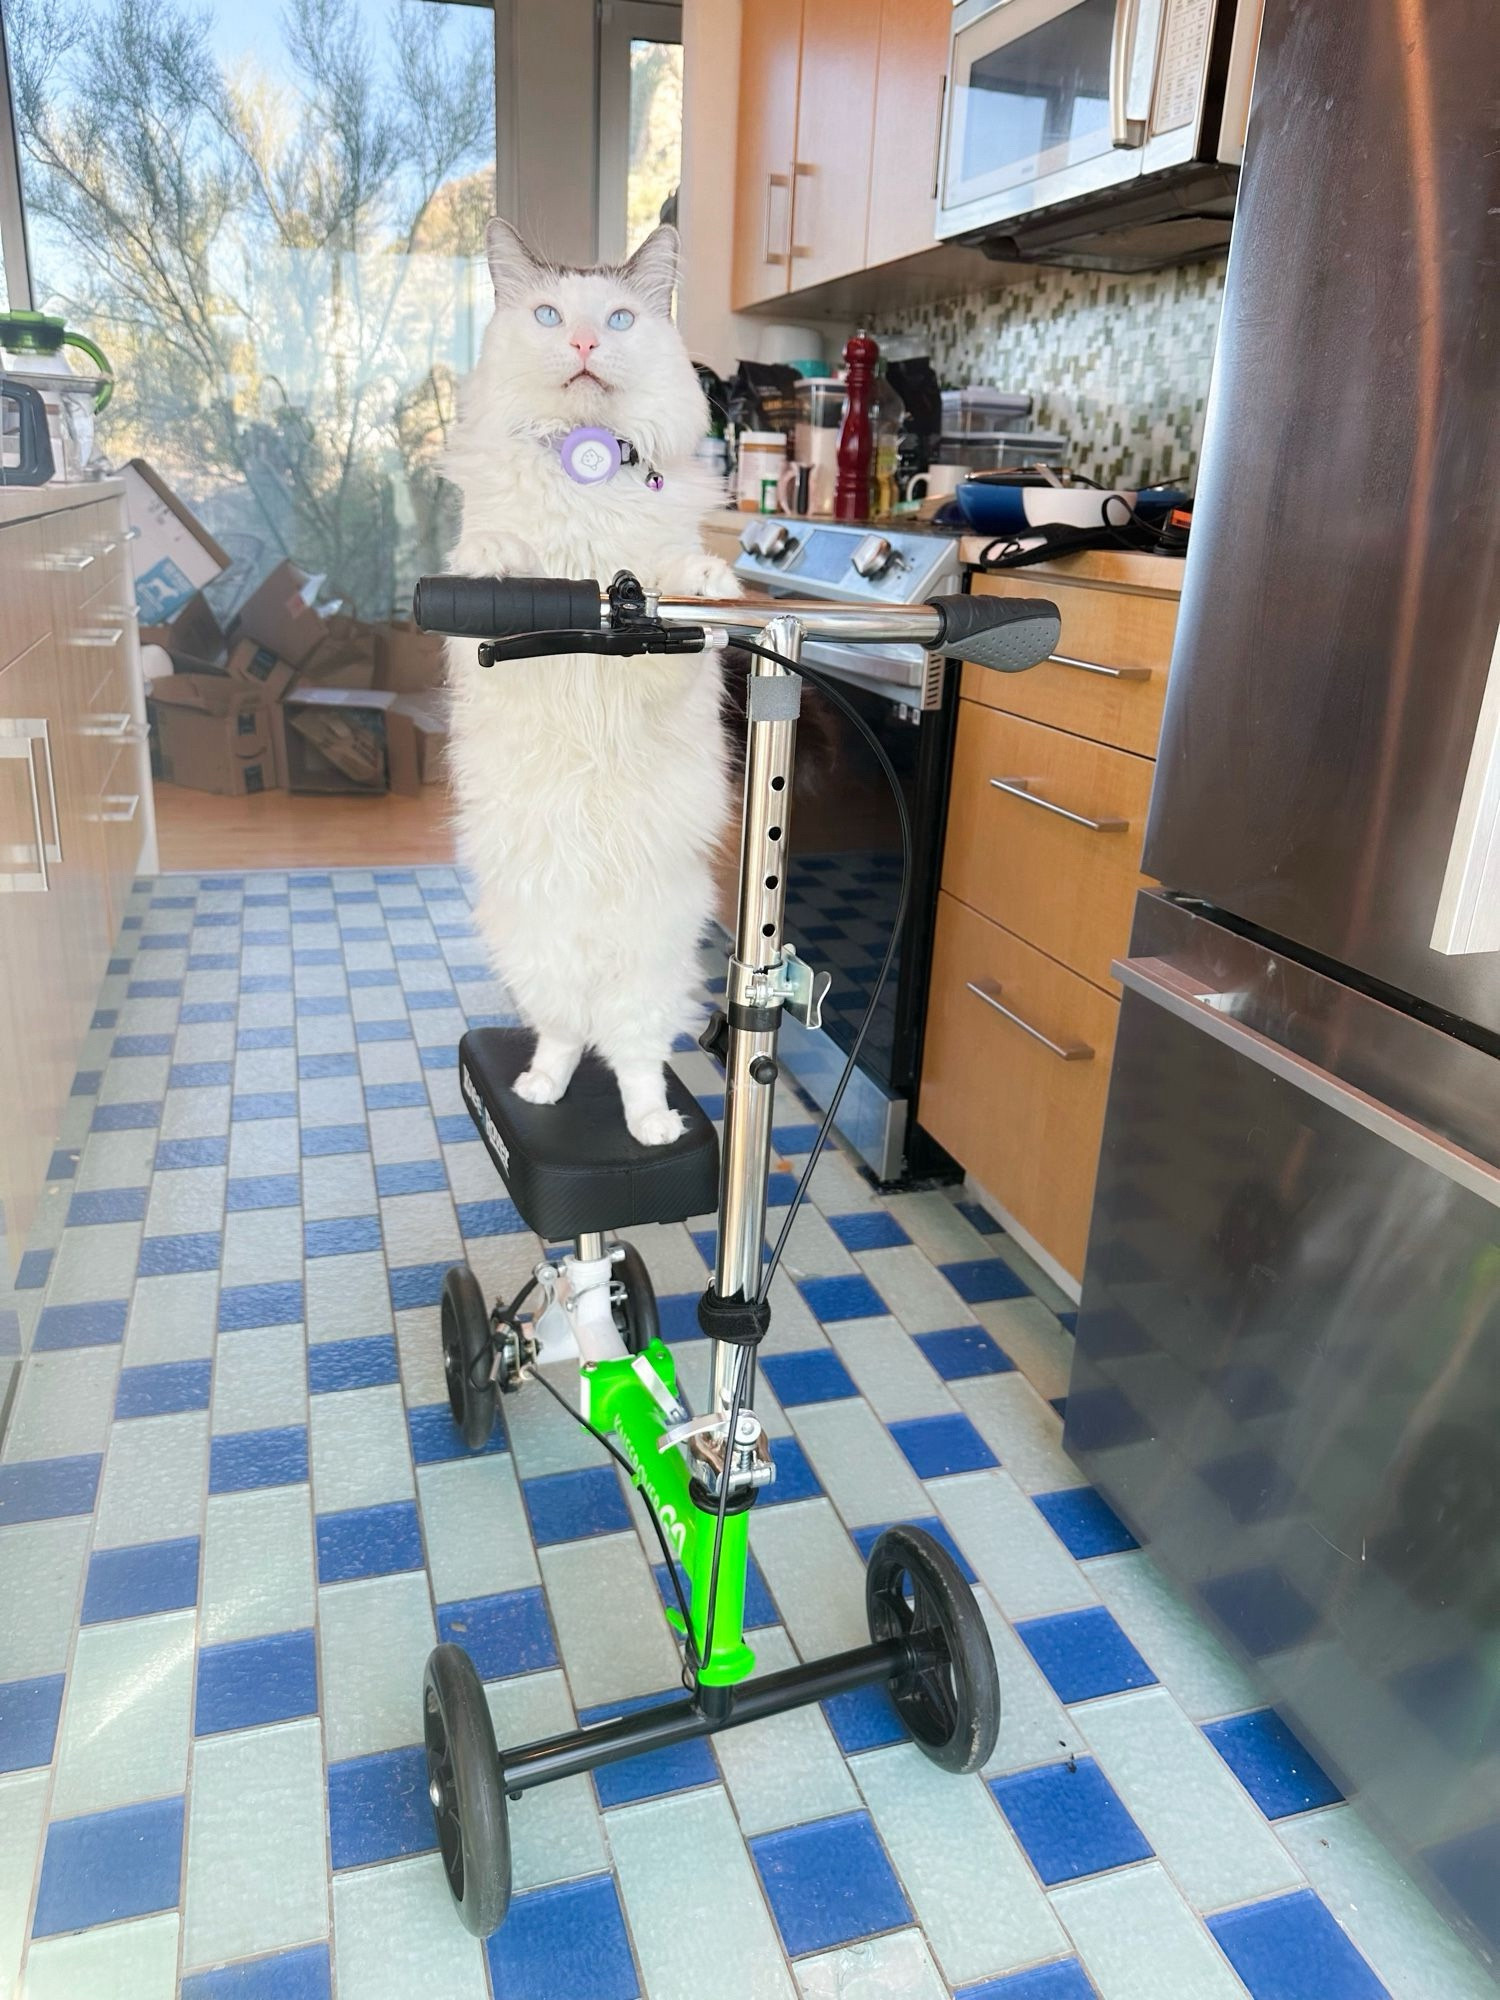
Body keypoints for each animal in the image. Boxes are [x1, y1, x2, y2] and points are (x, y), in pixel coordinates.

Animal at [440, 219, 740, 1144]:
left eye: (616, 319)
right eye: (547, 315)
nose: (580, 344)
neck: (587, 468)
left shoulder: (666, 640)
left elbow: (679, 588)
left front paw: (715, 583)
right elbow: (494, 558)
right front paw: (493, 565)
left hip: (647, 973)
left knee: (633, 1059)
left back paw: (654, 1128)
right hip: (539, 957)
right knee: (566, 1037)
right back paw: (539, 1091)